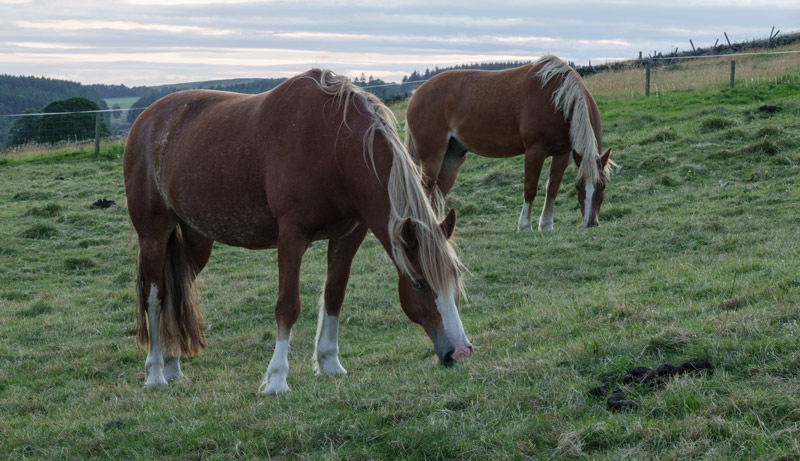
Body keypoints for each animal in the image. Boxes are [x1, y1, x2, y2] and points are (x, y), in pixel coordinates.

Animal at [123, 69, 472, 395]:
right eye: (419, 283)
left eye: (455, 278)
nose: (460, 353)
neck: (333, 144)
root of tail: (145, 121)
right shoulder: (291, 236)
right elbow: (288, 306)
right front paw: (277, 379)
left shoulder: (349, 235)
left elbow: (334, 294)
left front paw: (330, 363)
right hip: (154, 232)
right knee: (155, 297)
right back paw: (154, 373)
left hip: (196, 240)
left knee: (177, 293)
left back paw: (172, 365)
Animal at [405, 55, 613, 231]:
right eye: (578, 186)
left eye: (602, 186)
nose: (590, 223)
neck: (557, 99)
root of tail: (416, 94)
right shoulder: (534, 151)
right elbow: (530, 188)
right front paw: (525, 226)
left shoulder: (563, 153)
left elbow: (552, 188)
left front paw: (546, 225)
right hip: (432, 157)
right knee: (425, 190)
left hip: (452, 158)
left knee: (438, 193)